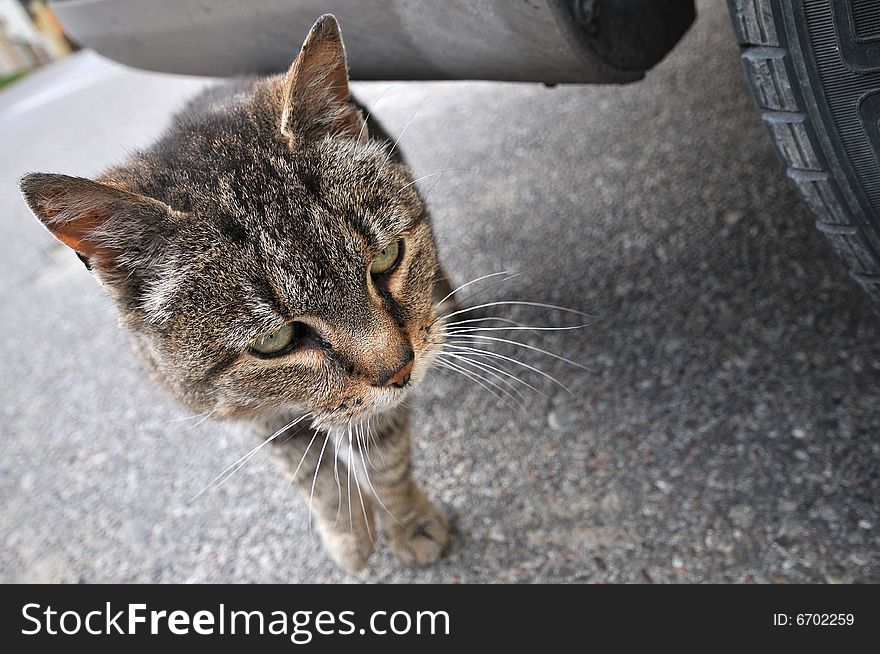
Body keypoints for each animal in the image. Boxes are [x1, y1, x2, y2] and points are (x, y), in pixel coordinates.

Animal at [20, 15, 460, 576]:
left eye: (386, 259)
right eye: (275, 341)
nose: (401, 371)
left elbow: (383, 457)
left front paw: (408, 524)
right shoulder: (257, 415)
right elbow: (314, 476)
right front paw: (348, 533)